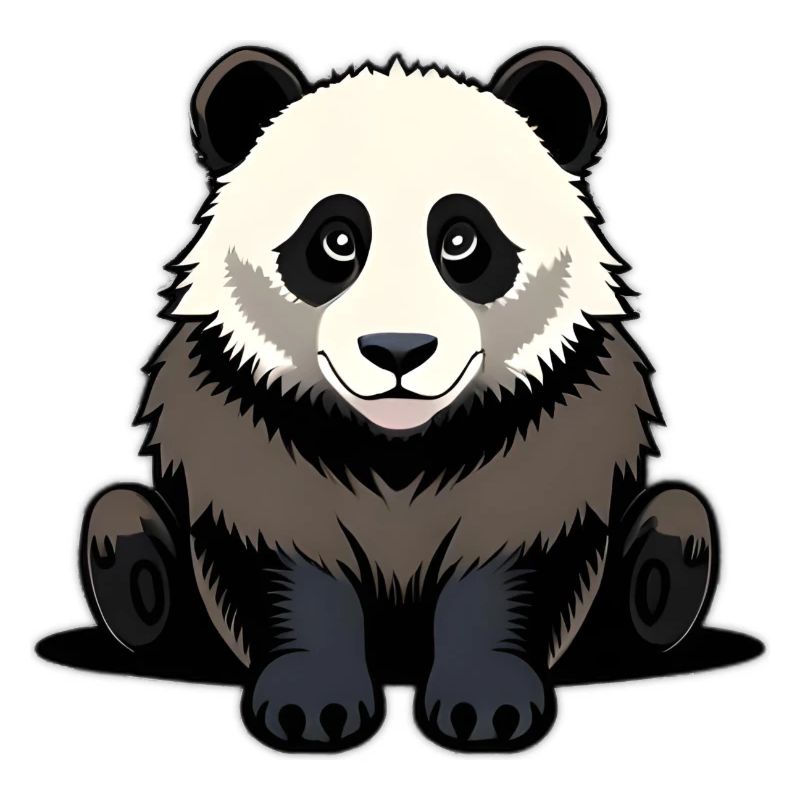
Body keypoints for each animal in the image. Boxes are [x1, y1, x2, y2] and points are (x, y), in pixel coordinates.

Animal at [79, 46, 718, 752]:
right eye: (336, 240)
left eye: (462, 239)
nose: (397, 351)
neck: (398, 443)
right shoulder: (244, 425)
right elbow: (284, 560)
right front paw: (312, 705)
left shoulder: (554, 427)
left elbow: (512, 561)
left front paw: (486, 705)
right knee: (121, 520)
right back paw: (134, 586)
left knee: (677, 521)